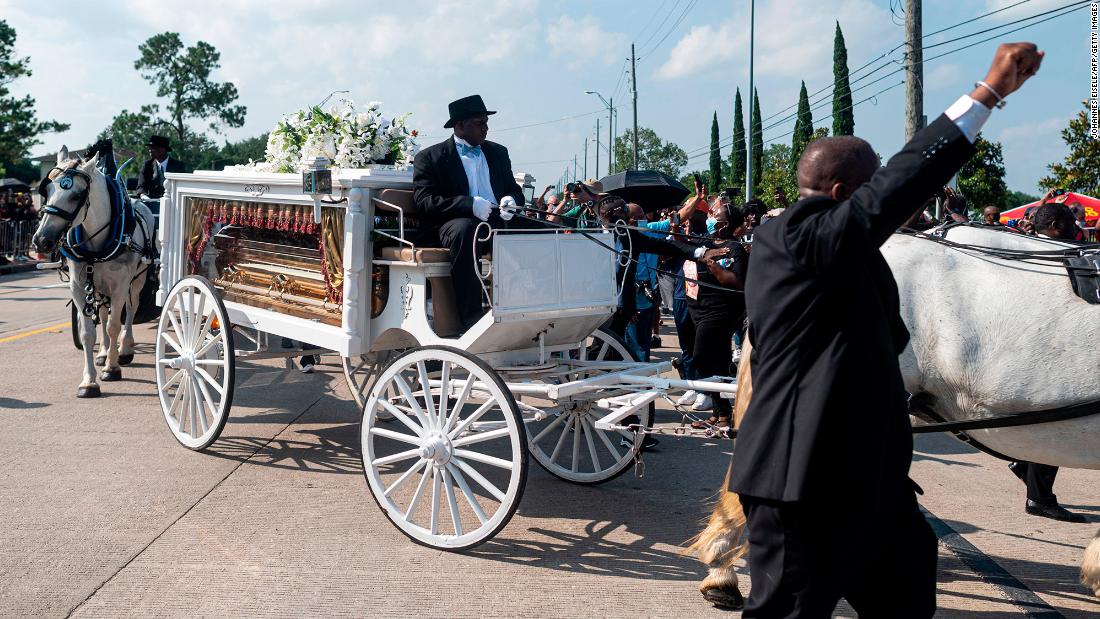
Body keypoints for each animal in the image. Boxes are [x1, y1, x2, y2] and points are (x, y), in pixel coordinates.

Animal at [31, 152, 156, 400]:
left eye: (77, 195)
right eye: (46, 190)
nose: (41, 241)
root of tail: (139, 200)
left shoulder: (120, 287)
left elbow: (114, 326)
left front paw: (112, 368)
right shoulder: (79, 288)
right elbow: (88, 332)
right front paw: (89, 381)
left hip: (137, 280)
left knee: (130, 310)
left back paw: (124, 349)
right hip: (99, 287)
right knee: (105, 314)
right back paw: (105, 352)